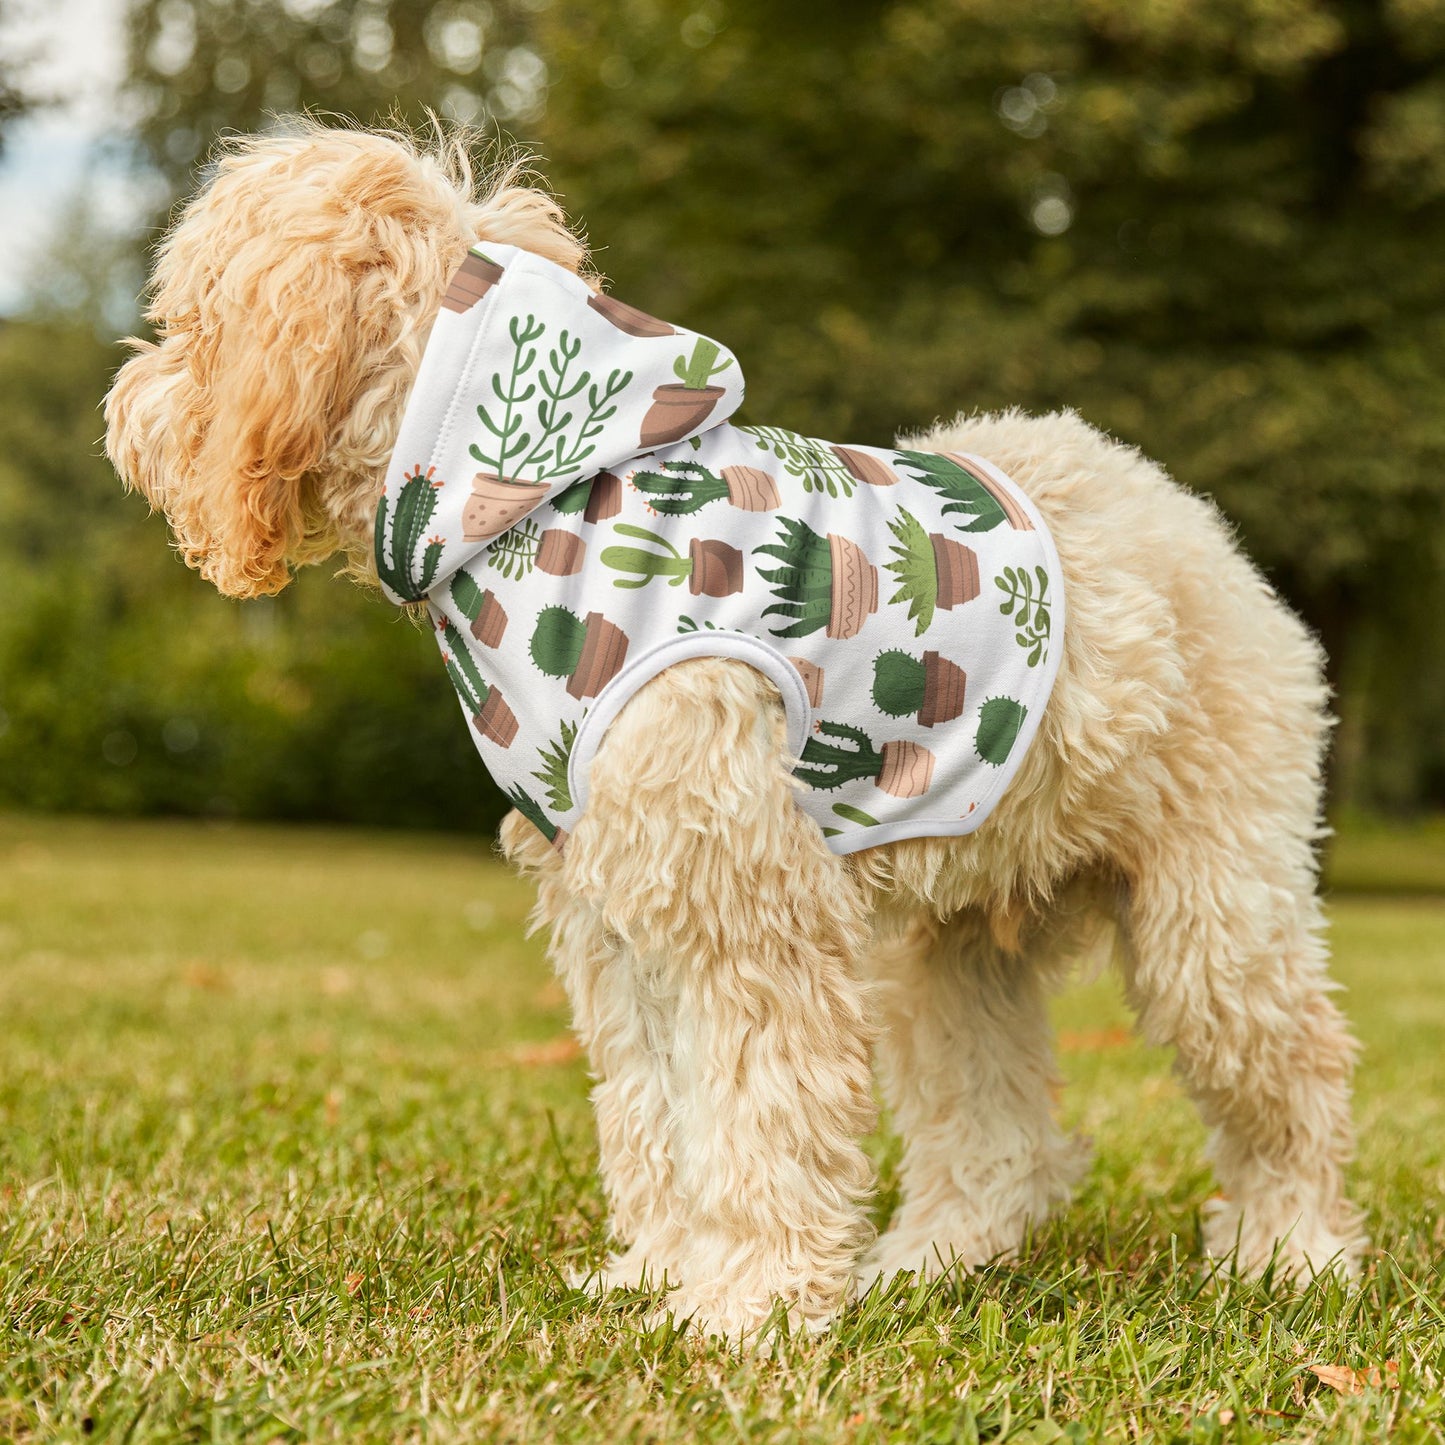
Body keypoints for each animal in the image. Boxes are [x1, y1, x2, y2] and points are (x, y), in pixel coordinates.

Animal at [106, 124, 1358, 1340]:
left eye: (189, 323)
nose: (123, 408)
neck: (536, 498)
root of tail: (1186, 517)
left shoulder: (745, 906)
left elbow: (759, 1111)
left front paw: (746, 1304)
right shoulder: (616, 911)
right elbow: (656, 1110)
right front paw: (661, 1272)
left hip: (1212, 914)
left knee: (1293, 1073)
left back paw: (1291, 1252)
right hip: (950, 947)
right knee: (997, 1133)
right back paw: (930, 1260)